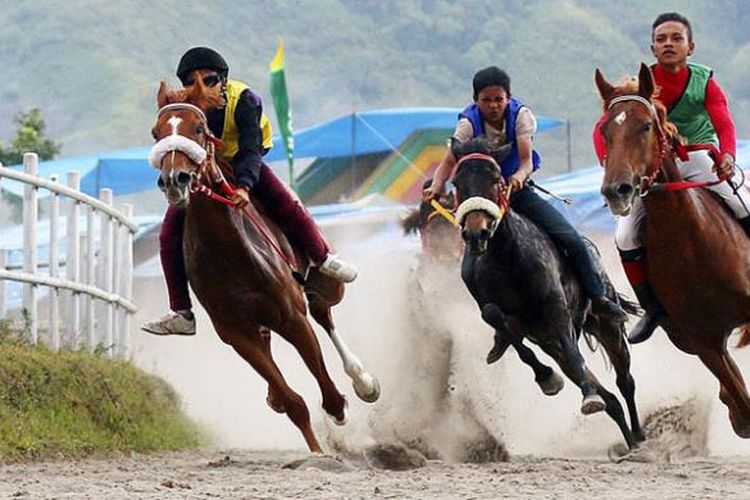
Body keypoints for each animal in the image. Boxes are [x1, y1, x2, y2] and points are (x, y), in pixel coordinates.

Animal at [151, 77, 382, 454]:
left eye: (198, 128)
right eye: (156, 133)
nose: (175, 181)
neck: (229, 253)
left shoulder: (292, 317)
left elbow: (327, 389)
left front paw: (341, 410)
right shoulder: (235, 332)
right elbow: (294, 402)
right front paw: (316, 448)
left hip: (324, 285)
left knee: (324, 314)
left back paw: (363, 379)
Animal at [452, 138, 648, 450]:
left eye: (495, 179)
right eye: (457, 182)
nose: (476, 234)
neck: (508, 258)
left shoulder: (556, 309)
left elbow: (572, 349)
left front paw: (588, 395)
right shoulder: (523, 325)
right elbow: (501, 323)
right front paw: (547, 378)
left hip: (608, 327)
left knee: (624, 381)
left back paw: (639, 437)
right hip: (551, 343)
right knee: (610, 398)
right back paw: (627, 438)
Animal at [596, 62, 750, 438]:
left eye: (646, 125)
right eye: (605, 130)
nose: (616, 190)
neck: (694, 245)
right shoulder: (704, 342)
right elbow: (742, 405)